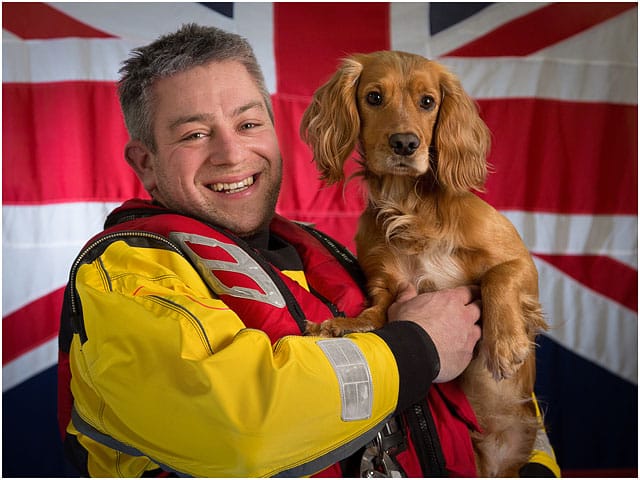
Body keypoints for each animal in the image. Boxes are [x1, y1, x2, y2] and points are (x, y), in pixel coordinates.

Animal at [302, 50, 552, 478]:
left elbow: (498, 277)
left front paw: (505, 343)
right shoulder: (385, 283)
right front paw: (343, 325)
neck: (410, 206)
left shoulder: (522, 263)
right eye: (373, 97)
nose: (405, 143)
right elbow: (379, 311)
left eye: (428, 102)